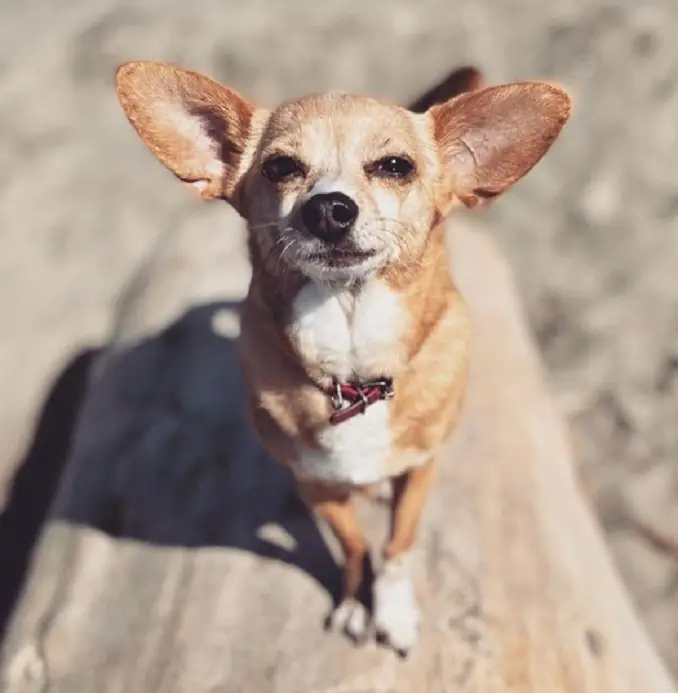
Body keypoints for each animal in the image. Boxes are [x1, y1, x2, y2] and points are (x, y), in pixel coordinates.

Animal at [114, 59, 572, 656]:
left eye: (396, 167)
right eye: (280, 168)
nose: (329, 207)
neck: (354, 371)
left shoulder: (419, 471)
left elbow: (397, 545)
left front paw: (393, 611)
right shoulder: (317, 485)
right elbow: (354, 546)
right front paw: (356, 601)